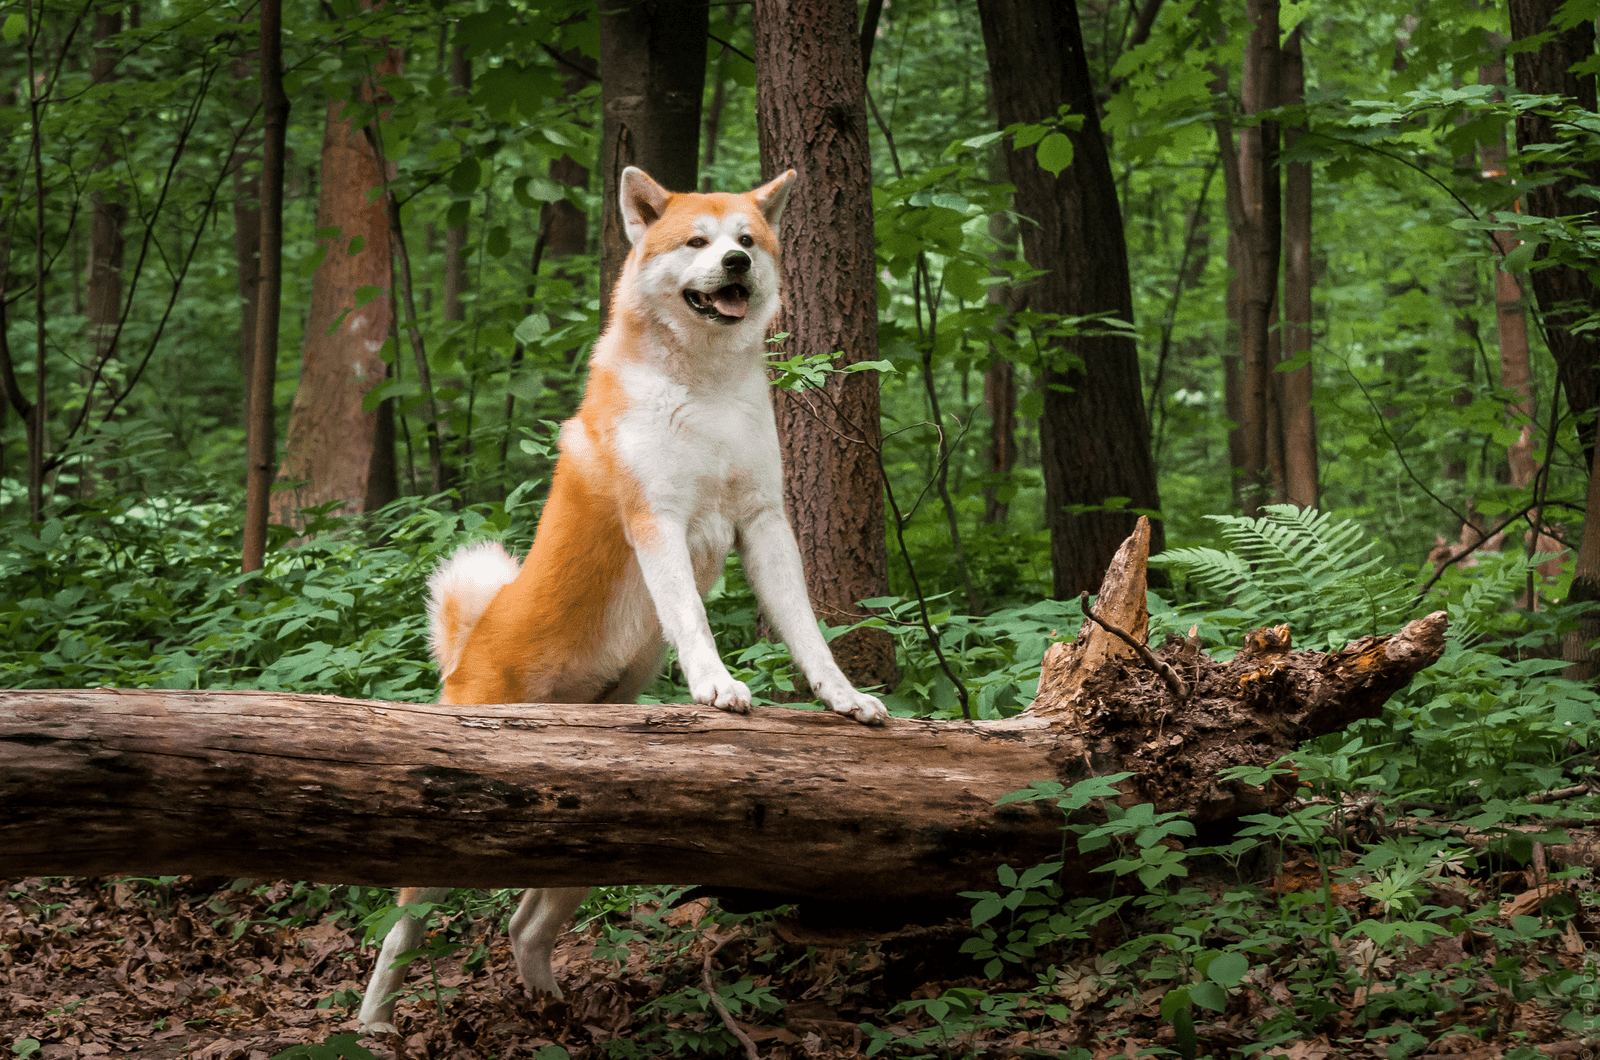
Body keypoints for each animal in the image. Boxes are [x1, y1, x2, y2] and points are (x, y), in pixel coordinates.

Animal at [353, 168, 889, 1037]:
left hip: (592, 844)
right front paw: (717, 687)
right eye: (698, 242)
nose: (736, 264)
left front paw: (844, 699)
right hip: (440, 860)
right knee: (402, 932)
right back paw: (370, 1024)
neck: (705, 391)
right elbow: (693, 622)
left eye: (747, 239)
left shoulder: (766, 524)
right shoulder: (658, 523)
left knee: (524, 925)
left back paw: (555, 1013)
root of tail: (469, 646)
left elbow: (809, 632)